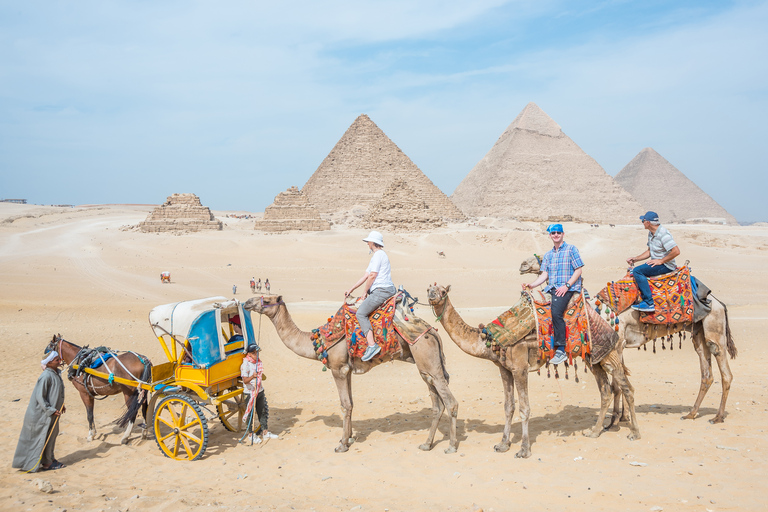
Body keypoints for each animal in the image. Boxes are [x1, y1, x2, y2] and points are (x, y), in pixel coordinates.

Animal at [246, 294, 460, 454]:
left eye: (267, 299)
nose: (247, 302)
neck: (318, 341)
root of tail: (434, 332)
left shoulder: (338, 369)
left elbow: (344, 405)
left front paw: (341, 444)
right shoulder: (347, 370)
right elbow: (350, 404)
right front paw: (348, 438)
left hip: (427, 359)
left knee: (450, 402)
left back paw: (450, 446)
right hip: (425, 367)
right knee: (437, 405)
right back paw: (427, 444)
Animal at [426, 284, 636, 460]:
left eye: (442, 291)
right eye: (430, 288)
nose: (431, 295)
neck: (489, 339)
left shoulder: (520, 368)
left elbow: (524, 408)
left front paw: (524, 450)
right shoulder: (504, 369)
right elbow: (508, 407)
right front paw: (503, 444)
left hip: (611, 352)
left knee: (626, 387)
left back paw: (634, 433)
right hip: (594, 359)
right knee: (606, 390)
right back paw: (594, 431)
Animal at [520, 255, 736, 424]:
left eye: (539, 258)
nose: (522, 264)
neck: (594, 310)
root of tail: (719, 303)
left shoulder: (617, 343)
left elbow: (617, 383)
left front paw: (616, 420)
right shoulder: (619, 346)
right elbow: (621, 378)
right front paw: (622, 417)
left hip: (714, 328)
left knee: (725, 371)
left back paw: (717, 417)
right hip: (699, 332)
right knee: (706, 373)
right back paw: (691, 413)